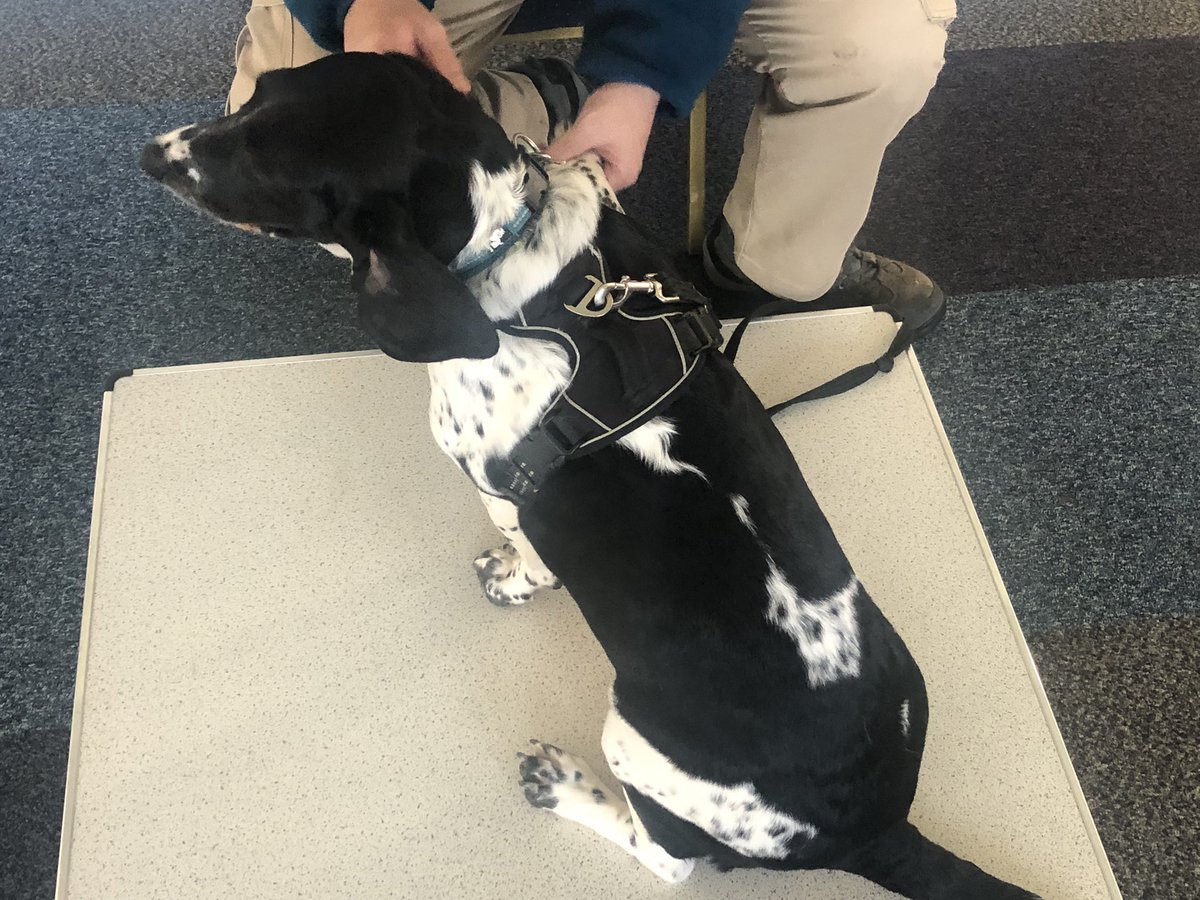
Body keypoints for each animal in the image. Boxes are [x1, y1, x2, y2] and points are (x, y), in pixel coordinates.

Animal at [140, 52, 1036, 897]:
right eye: (260, 92)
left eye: (273, 175)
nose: (152, 156)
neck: (521, 258)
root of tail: (877, 830)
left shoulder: (501, 485)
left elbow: (529, 556)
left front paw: (510, 577)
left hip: (635, 743)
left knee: (669, 858)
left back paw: (563, 784)